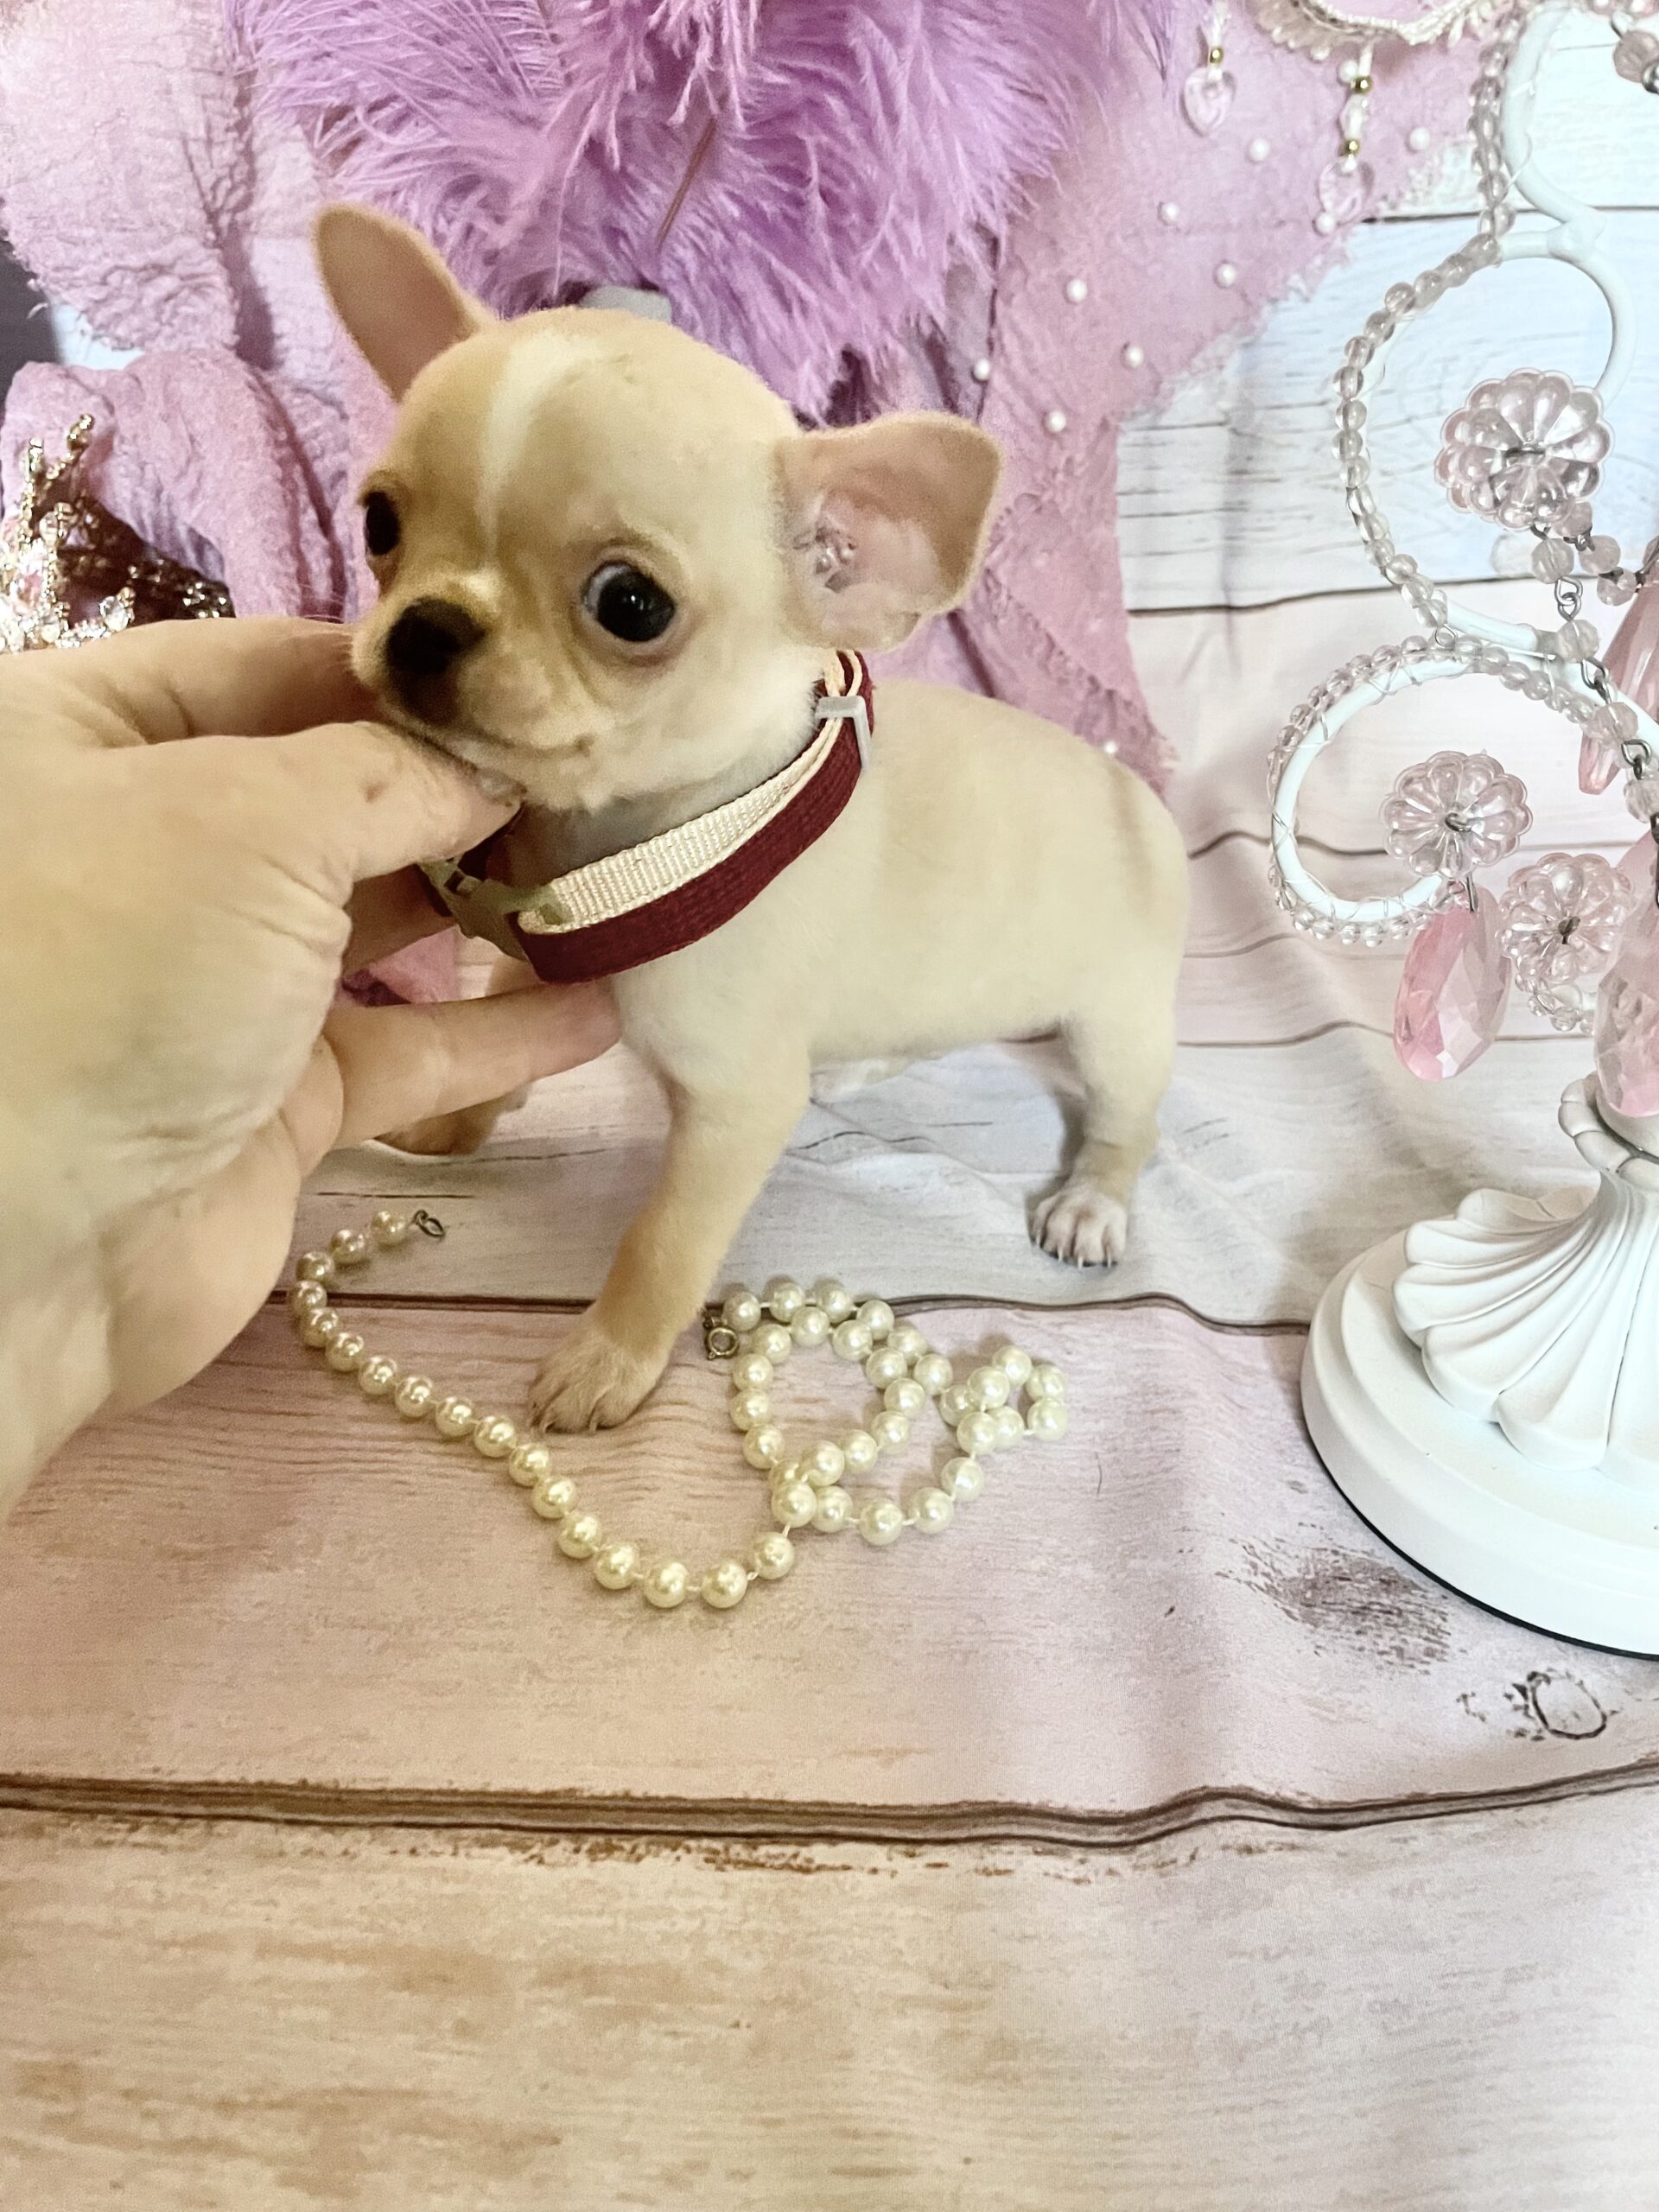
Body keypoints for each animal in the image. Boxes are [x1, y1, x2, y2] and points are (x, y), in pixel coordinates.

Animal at [316, 204, 1187, 1433]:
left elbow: (661, 1250)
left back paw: (1092, 1203)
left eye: (631, 605)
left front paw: (607, 1360)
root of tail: (1137, 798)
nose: (426, 628)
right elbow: (491, 1073)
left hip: (1119, 1020)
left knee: (1127, 1119)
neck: (636, 845)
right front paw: (451, 1132)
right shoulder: (525, 974)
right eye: (380, 525)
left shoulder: (731, 1115)